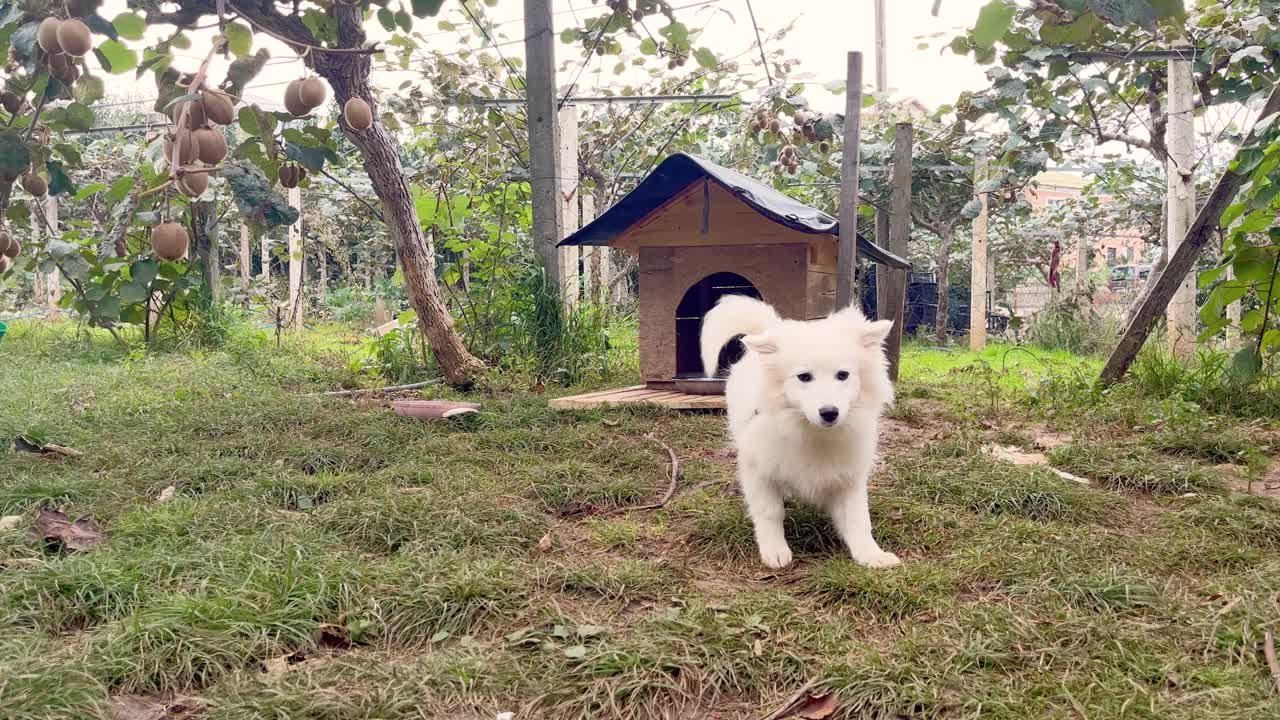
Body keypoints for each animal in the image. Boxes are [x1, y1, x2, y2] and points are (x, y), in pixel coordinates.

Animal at [701, 294, 901, 568]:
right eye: (804, 377)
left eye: (843, 375)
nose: (829, 412)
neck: (812, 432)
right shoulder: (757, 471)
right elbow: (770, 511)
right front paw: (774, 550)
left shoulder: (850, 478)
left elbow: (858, 519)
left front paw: (872, 555)